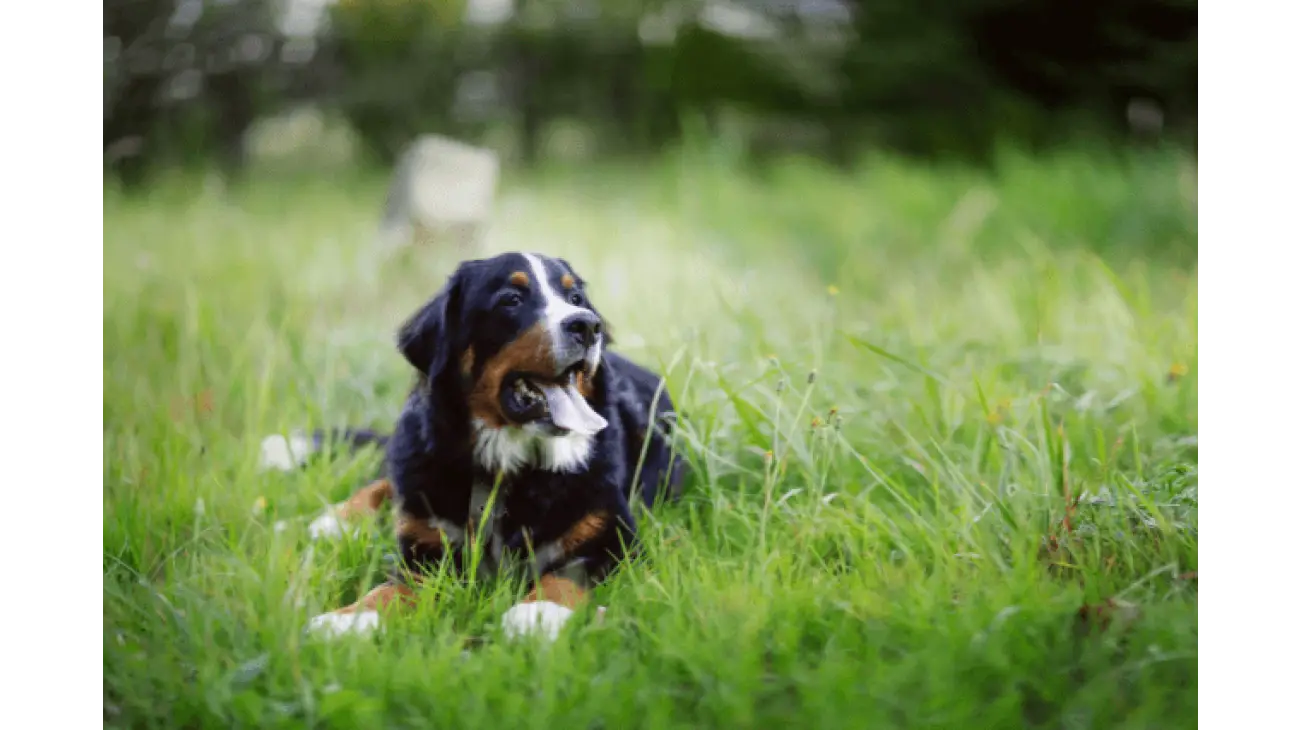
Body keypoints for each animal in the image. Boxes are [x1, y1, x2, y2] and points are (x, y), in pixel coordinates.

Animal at [263, 253, 691, 639]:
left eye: (576, 299)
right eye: (511, 300)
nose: (587, 325)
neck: (506, 465)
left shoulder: (613, 537)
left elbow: (567, 574)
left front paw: (538, 613)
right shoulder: (427, 550)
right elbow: (390, 587)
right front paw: (348, 619)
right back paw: (331, 522)